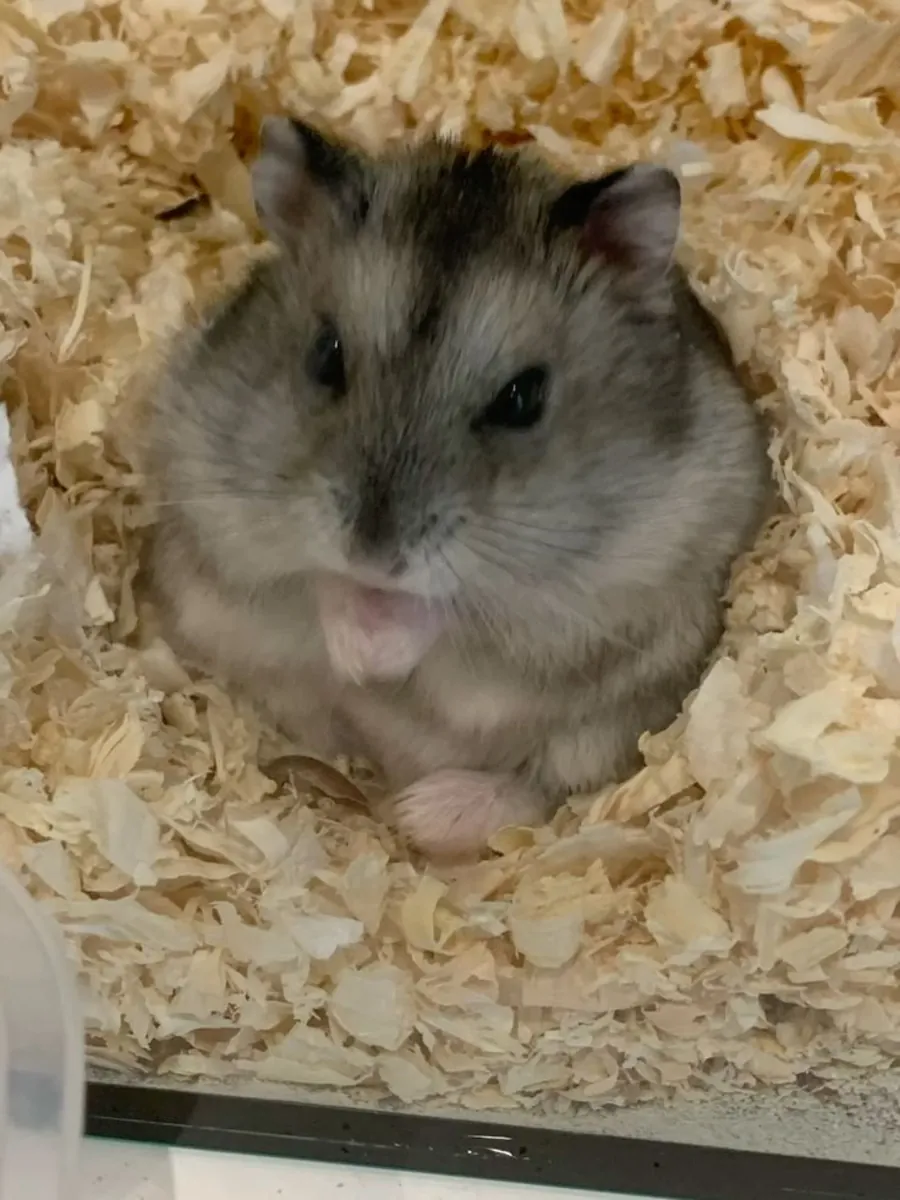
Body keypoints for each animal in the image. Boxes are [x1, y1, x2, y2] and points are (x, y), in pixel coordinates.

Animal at [145, 117, 770, 859]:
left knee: (543, 789)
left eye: (523, 398)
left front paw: (376, 657)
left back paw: (424, 810)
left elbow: (456, 615)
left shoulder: (593, 603)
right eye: (325, 355)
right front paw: (358, 657)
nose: (375, 555)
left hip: (608, 729)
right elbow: (308, 581)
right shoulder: (214, 507)